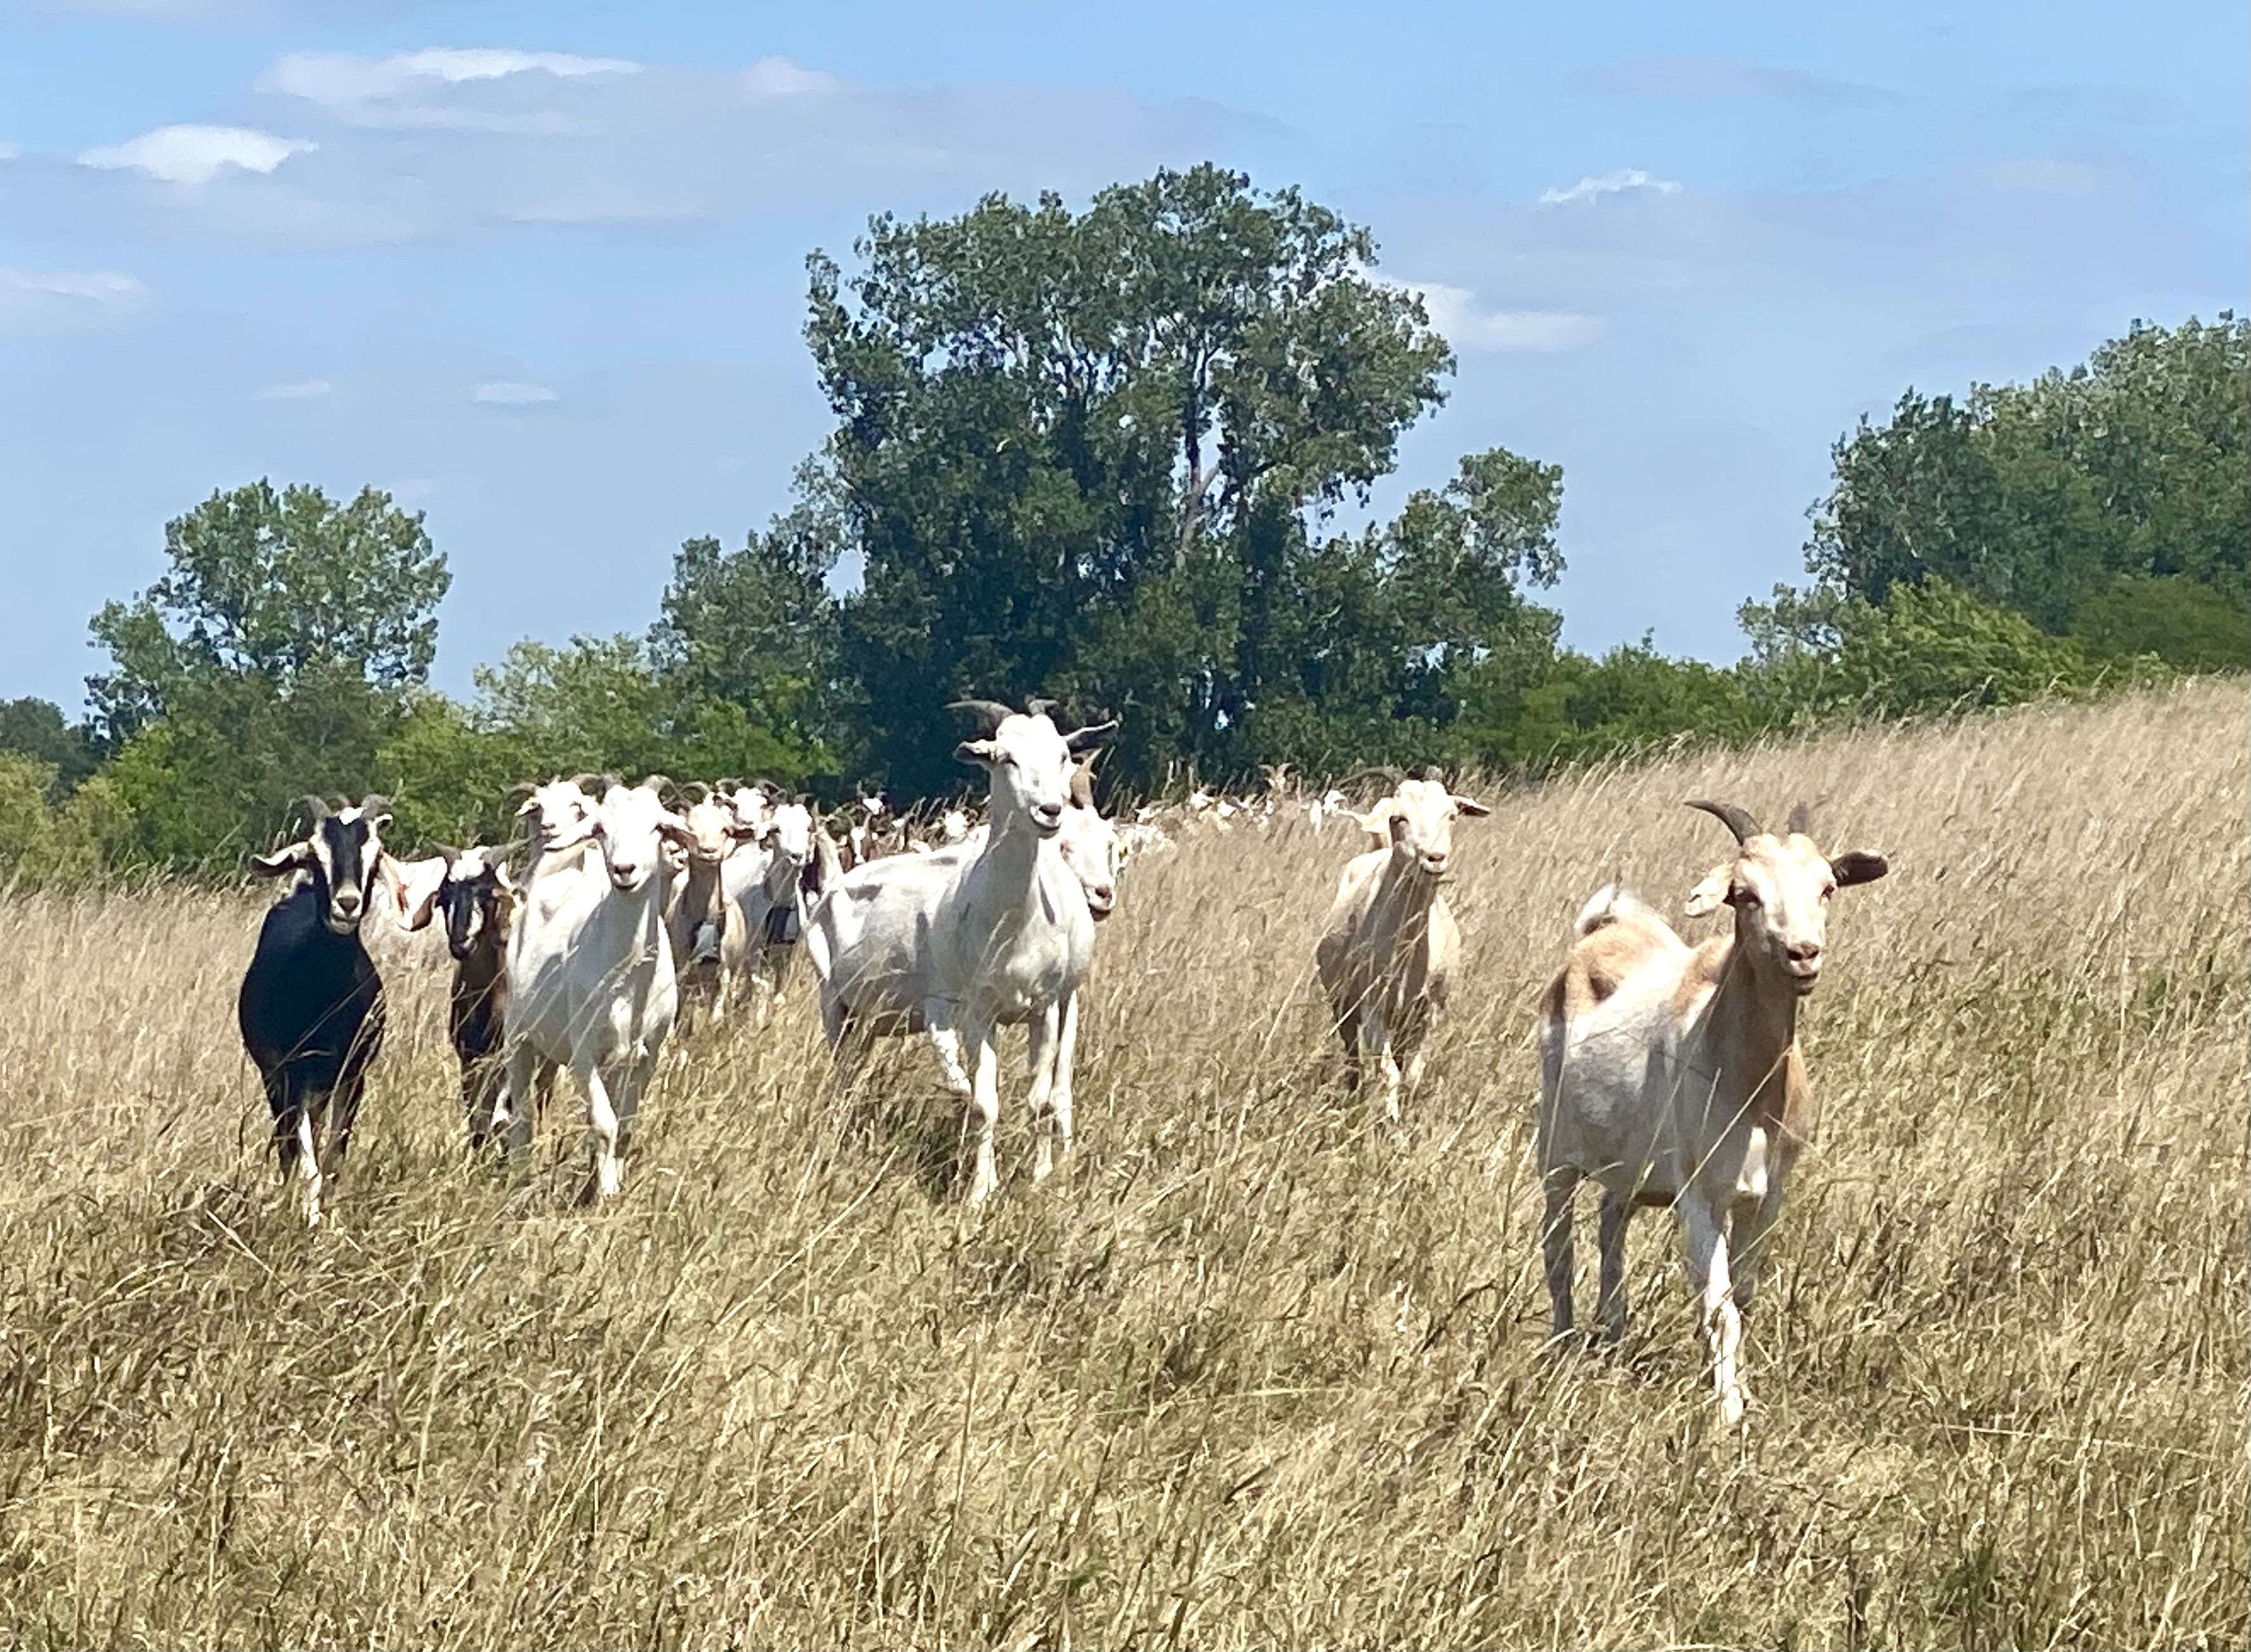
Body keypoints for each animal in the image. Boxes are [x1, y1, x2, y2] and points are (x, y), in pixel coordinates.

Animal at [237, 796, 400, 1233]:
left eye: (374, 858)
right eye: (315, 855)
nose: (347, 904)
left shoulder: (353, 1075)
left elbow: (334, 1156)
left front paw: (331, 1220)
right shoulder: (293, 1073)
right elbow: (306, 1156)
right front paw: (310, 1221)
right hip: (276, 1079)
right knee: (287, 1143)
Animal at [501, 783, 693, 1197]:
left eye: (659, 826)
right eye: (601, 828)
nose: (624, 870)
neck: (628, 979)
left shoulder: (647, 1054)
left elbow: (627, 1124)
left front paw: (613, 1180)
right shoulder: (584, 1052)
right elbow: (605, 1123)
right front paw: (606, 1192)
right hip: (519, 1037)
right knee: (521, 1116)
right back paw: (520, 1178)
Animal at [1314, 779, 1486, 1125]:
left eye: (1451, 816)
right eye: (1399, 818)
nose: (1434, 858)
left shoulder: (1428, 1012)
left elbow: (1413, 1074)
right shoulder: (1373, 1007)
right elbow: (1388, 1071)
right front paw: (1390, 1121)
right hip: (1343, 1004)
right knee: (1354, 1058)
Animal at [1540, 801, 1891, 1422]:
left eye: (1827, 886)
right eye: (1744, 893)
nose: (1803, 953)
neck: (1746, 1076)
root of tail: (1596, 937)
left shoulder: (1766, 1195)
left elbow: (1743, 1299)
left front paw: (1740, 1390)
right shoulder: (1700, 1195)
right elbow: (1720, 1304)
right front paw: (1728, 1413)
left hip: (1630, 1171)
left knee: (1609, 1225)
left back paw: (1612, 1333)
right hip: (1554, 1150)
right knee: (1557, 1244)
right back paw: (1563, 1341)